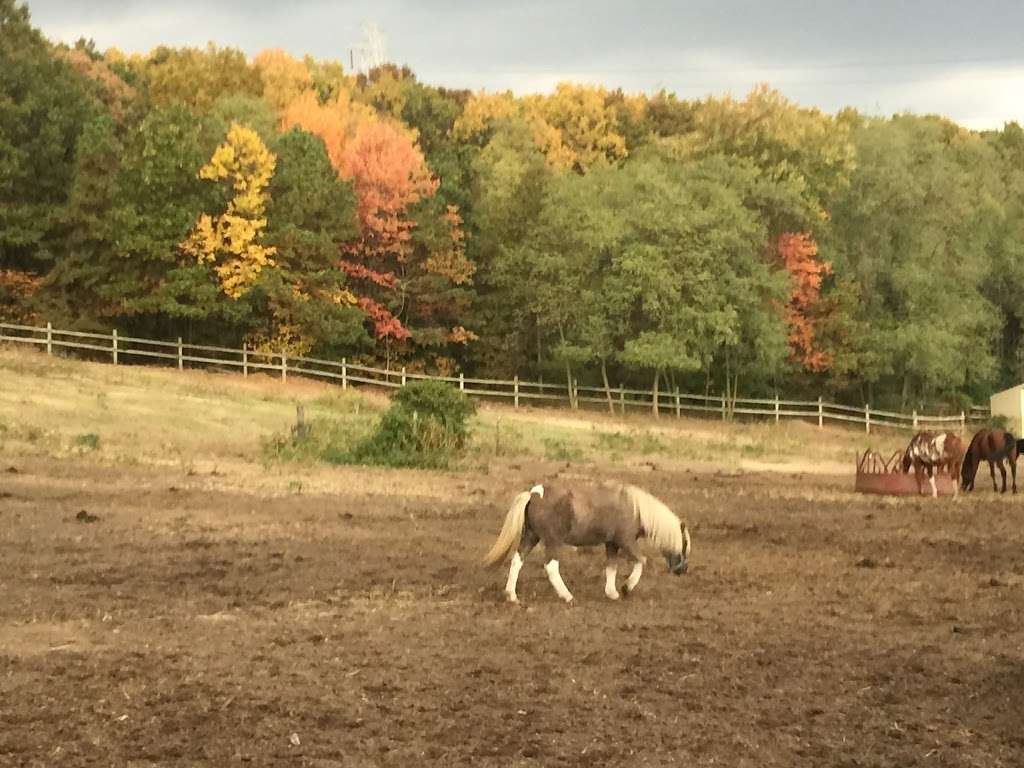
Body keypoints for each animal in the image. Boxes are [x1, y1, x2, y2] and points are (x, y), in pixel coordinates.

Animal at [483, 479, 692, 606]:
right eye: (684, 545)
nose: (683, 570)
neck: (635, 508)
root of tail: (535, 494)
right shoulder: (626, 542)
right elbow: (641, 562)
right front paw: (626, 587)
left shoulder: (611, 544)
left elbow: (611, 567)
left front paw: (612, 592)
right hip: (553, 541)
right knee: (551, 567)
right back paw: (567, 596)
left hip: (531, 537)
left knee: (517, 561)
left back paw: (512, 596)